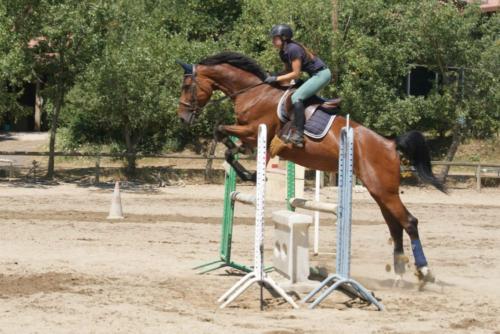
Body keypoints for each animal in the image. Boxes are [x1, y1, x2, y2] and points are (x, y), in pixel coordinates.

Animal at [177, 51, 446, 288]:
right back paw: (399, 276)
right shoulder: (250, 136)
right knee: (395, 226)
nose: (182, 118)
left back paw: (425, 272)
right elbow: (227, 147)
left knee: (409, 222)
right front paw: (248, 172)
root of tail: (390, 144)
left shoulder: (254, 131)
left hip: (384, 190)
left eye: (187, 85)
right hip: (379, 191)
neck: (254, 93)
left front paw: (250, 173)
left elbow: (221, 130)